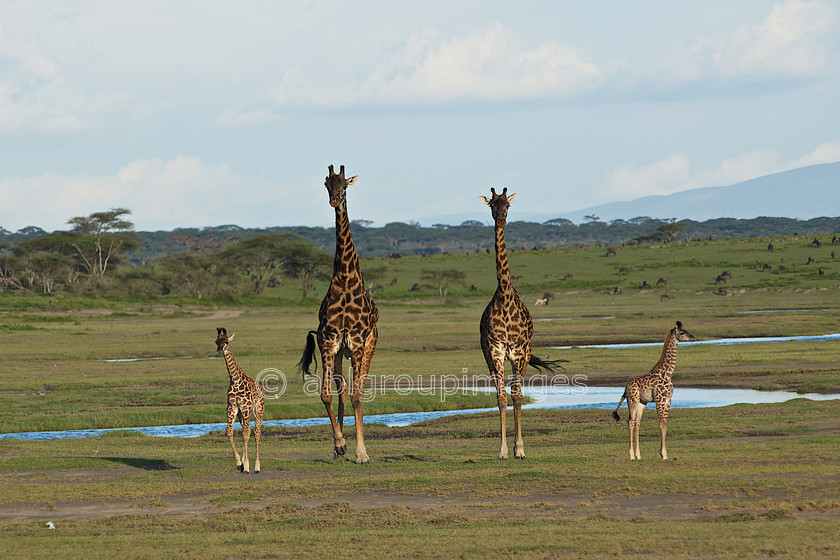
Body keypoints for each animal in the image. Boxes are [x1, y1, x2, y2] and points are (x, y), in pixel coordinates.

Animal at [215, 326, 264, 474]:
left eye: (226, 342)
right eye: (216, 342)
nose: (219, 350)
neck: (235, 380)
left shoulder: (246, 407)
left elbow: (246, 434)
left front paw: (247, 465)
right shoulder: (233, 408)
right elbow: (229, 431)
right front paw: (239, 463)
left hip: (258, 410)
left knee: (256, 432)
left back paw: (257, 466)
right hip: (241, 415)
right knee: (248, 430)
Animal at [296, 165, 378, 464]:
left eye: (345, 186)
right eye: (327, 185)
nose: (335, 201)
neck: (344, 278)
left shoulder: (356, 341)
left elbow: (356, 397)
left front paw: (362, 453)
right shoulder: (329, 340)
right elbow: (326, 395)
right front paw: (340, 443)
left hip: (367, 347)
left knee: (359, 390)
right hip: (341, 352)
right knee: (342, 391)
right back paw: (338, 445)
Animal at [480, 188, 564, 460]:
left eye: (507, 205)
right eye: (492, 205)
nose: (501, 220)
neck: (505, 297)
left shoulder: (518, 352)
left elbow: (517, 397)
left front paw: (519, 449)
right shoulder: (496, 351)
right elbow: (502, 398)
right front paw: (503, 450)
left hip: (523, 355)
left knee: (518, 394)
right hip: (489, 356)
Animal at [612, 322, 696, 462]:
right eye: (682, 332)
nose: (693, 337)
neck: (668, 373)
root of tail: (625, 388)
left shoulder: (668, 400)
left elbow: (665, 425)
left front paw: (664, 454)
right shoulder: (659, 400)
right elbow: (661, 425)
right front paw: (663, 455)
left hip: (641, 403)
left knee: (637, 423)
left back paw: (638, 455)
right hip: (632, 400)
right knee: (630, 422)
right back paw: (631, 455)